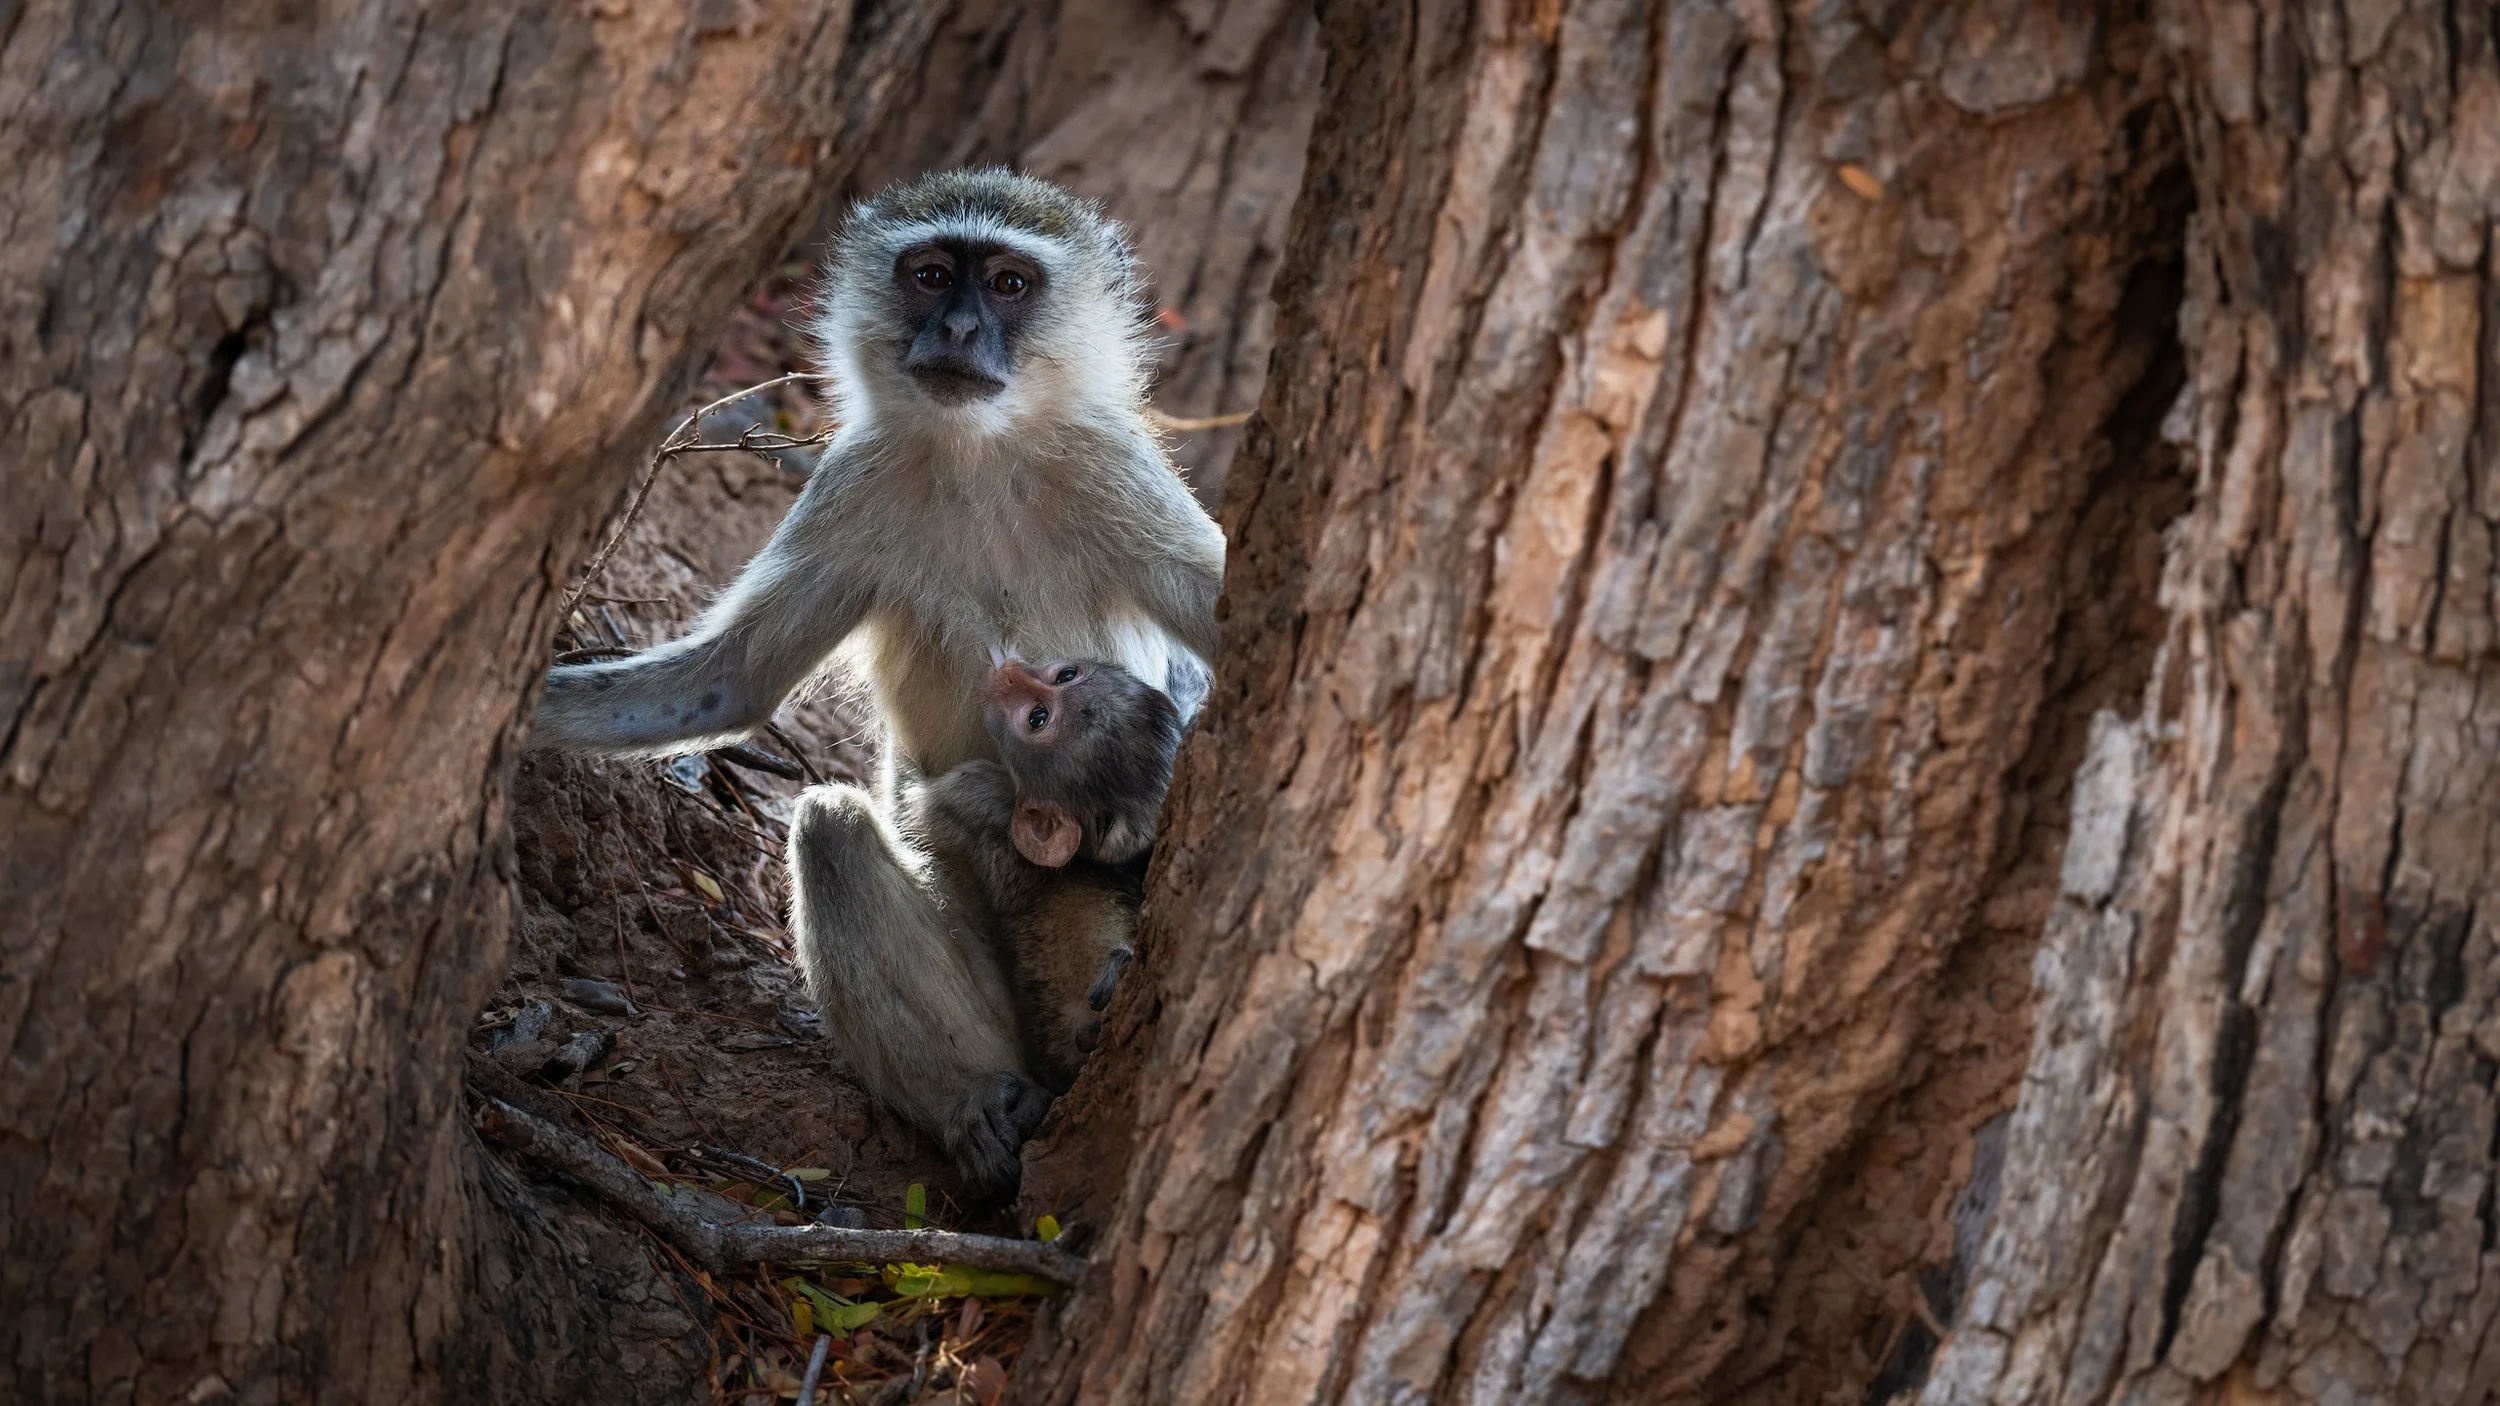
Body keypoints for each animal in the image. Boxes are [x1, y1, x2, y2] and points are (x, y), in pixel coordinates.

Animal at [530, 168, 1225, 780]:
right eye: (932, 276)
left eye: (1007, 283)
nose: (959, 328)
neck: (978, 455)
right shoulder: (851, 482)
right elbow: (728, 683)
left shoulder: (1111, 468)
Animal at [785, 657, 1183, 1194]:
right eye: (1067, 675)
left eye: (1037, 718)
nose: (1012, 671)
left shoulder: (974, 791)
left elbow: (919, 801)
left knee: (829, 824)